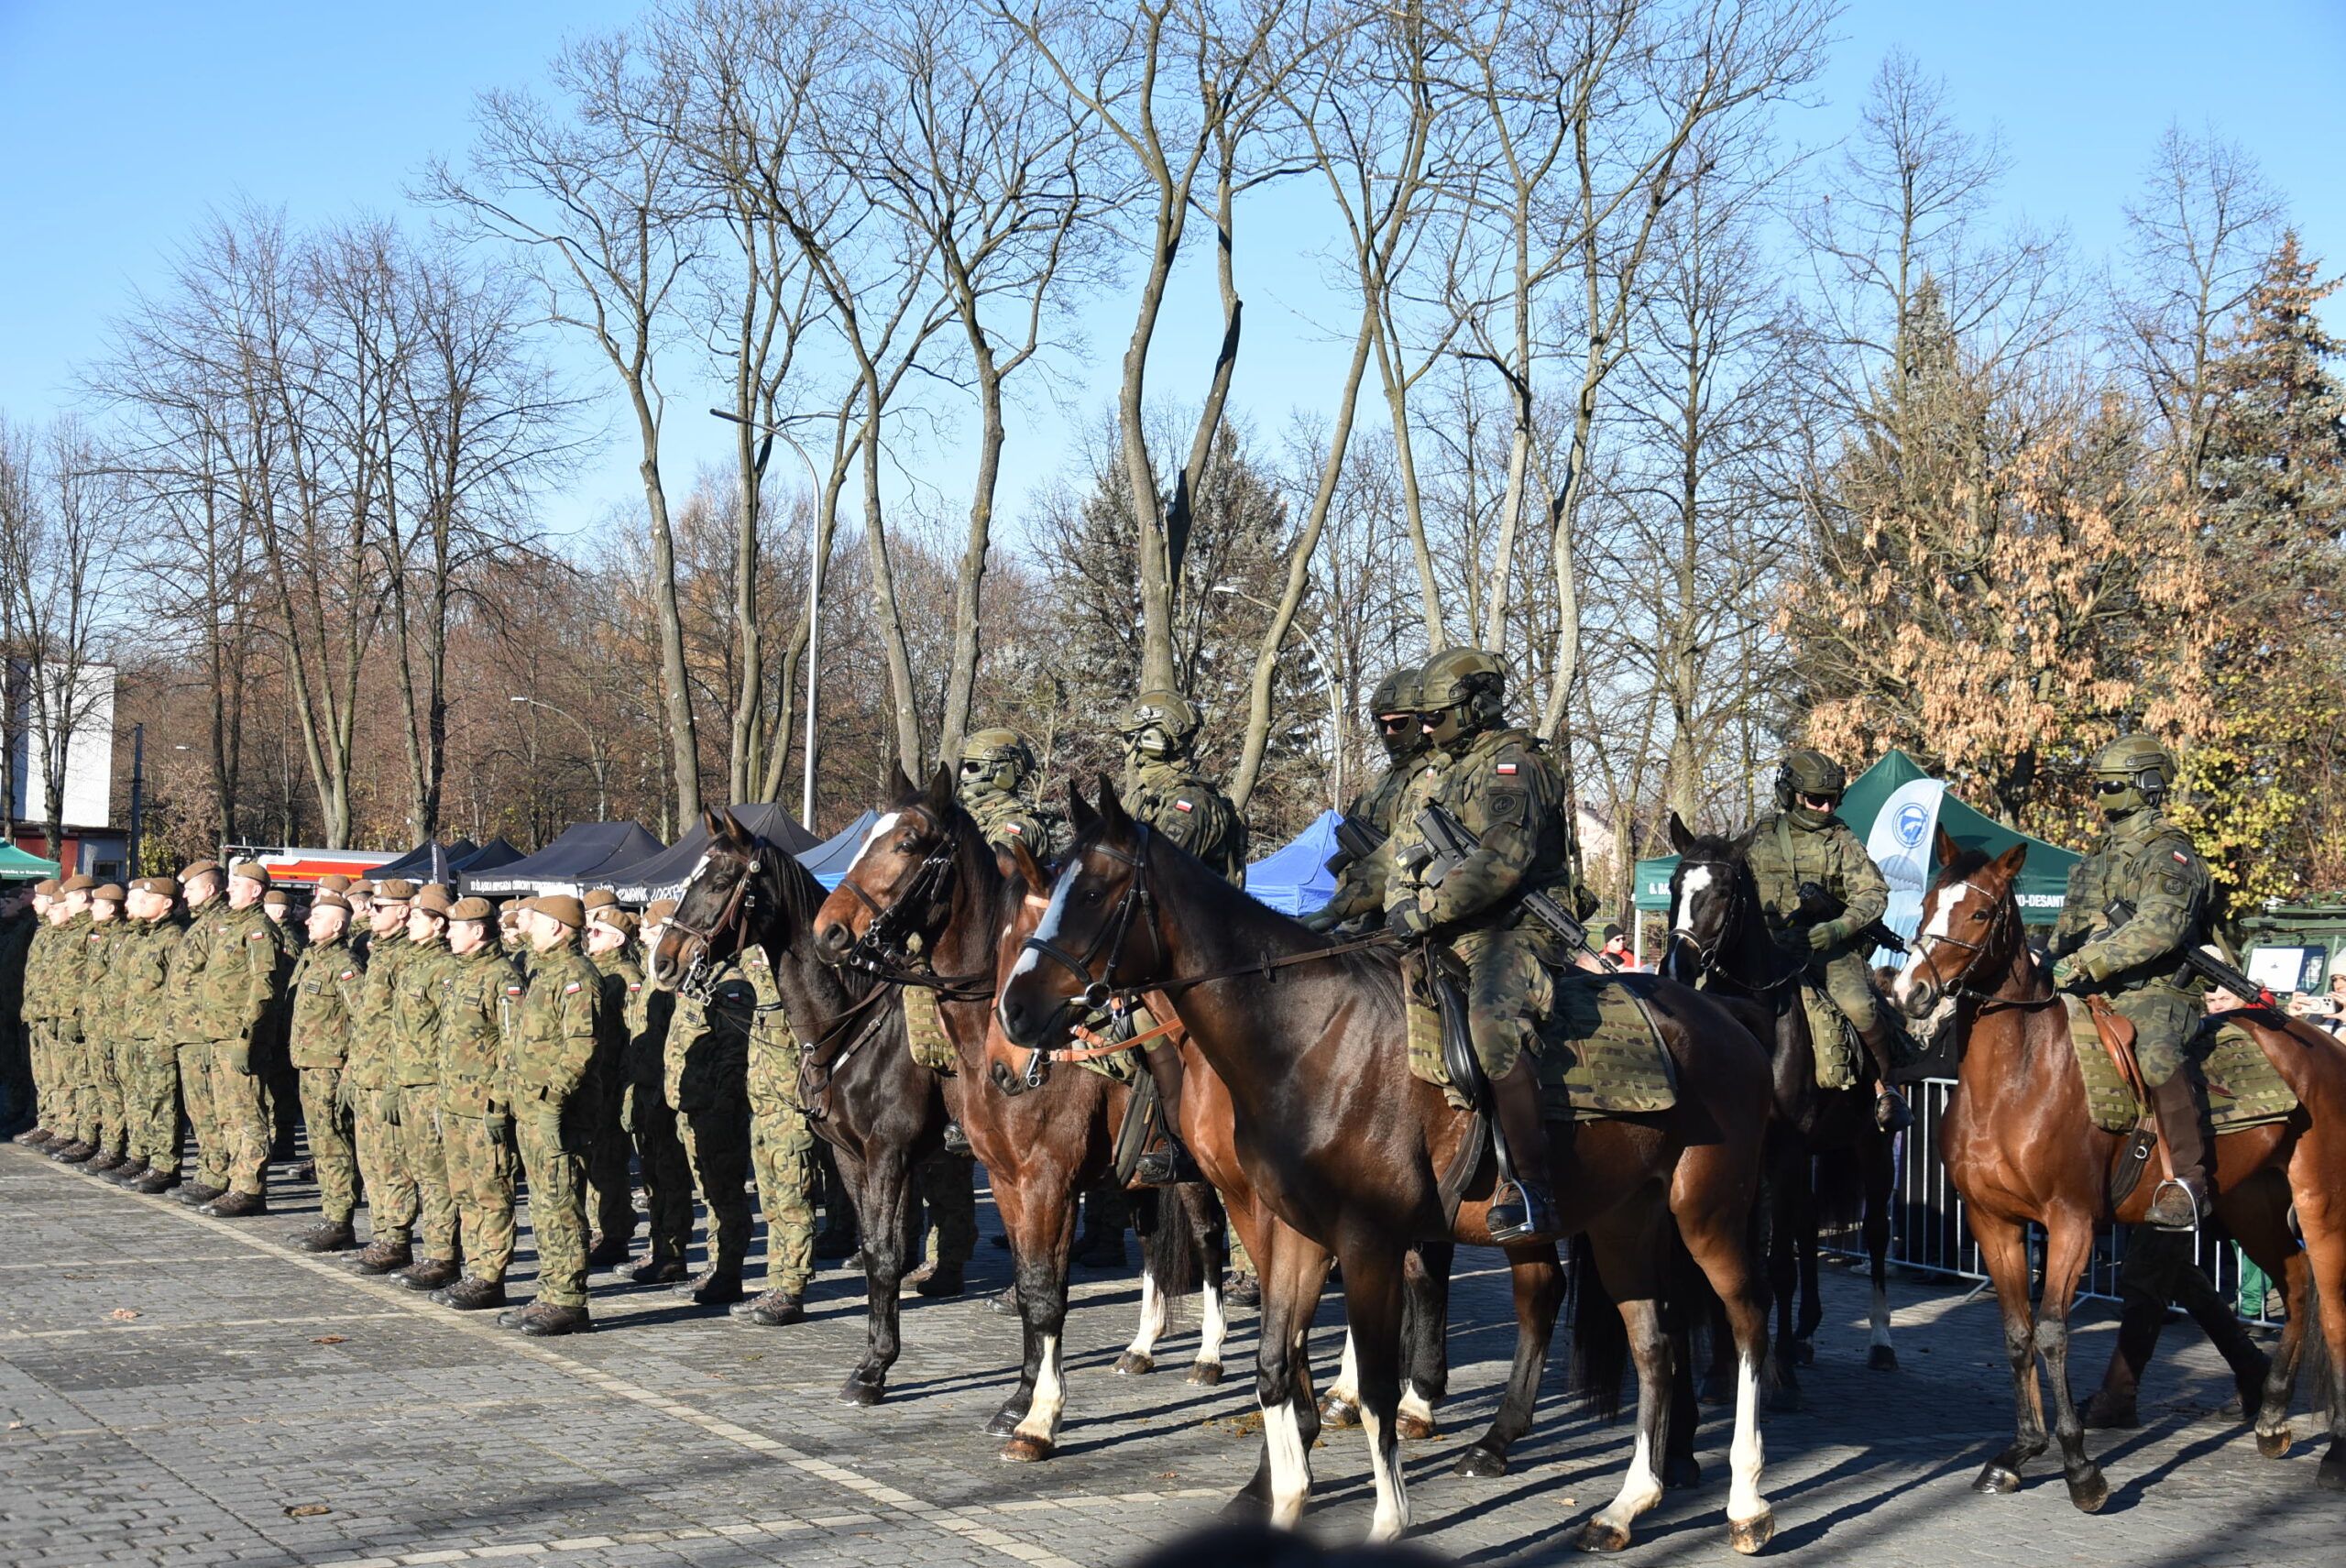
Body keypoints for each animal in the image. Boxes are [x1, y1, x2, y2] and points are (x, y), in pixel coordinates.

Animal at [652, 807, 943, 1408]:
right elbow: (877, 1249)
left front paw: (875, 1369)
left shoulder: (889, 1155)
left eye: (721, 880)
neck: (856, 1023)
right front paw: (874, 1358)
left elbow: (882, 1252)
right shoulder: (854, 1157)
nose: (663, 962)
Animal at [806, 765, 1238, 1464]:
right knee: (1153, 1240)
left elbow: (1046, 1292)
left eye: (908, 842)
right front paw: (1022, 1397)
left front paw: (1038, 1410)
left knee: (1207, 1239)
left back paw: (1212, 1355)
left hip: (1203, 1173)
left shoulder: (1046, 1180)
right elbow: (1033, 1285)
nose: (830, 931)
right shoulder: (1007, 1180)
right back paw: (1143, 1347)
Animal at [990, 779, 1773, 1540]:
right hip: (1621, 1224)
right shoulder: (1297, 1232)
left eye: (1094, 892)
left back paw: (1744, 1500)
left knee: (1745, 1325)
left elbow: (1372, 1384)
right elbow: (1274, 1363)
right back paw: (1626, 1503)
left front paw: (1387, 1515)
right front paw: (1282, 1496)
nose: (1014, 1011)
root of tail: (1728, 1021)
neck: (1309, 1036)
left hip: (1707, 1216)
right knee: (1654, 1347)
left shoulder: (1366, 1240)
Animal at [1661, 807, 1895, 1398]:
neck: (1758, 1022)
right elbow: (1746, 1262)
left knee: (1876, 1234)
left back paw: (1879, 1342)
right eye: (1674, 884)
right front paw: (1723, 1371)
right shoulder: (1741, 1156)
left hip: (1872, 1149)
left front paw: (1779, 1373)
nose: (1676, 966)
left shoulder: (1784, 1149)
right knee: (1807, 1230)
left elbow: (1775, 1264)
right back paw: (1805, 1333)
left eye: (1723, 892)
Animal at [1886, 830, 2346, 1502]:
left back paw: (2334, 1449)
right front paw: (2019, 1451)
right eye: (1924, 904)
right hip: (2250, 1203)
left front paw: (2079, 1465)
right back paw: (2271, 1416)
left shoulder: (2072, 1222)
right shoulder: (1993, 1222)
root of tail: (2325, 1046)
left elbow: (2054, 1331)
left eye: (1980, 913)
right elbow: (2018, 1332)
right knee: (2296, 1280)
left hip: (2321, 1203)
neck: (2014, 1081)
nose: (1909, 993)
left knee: (2332, 1306)